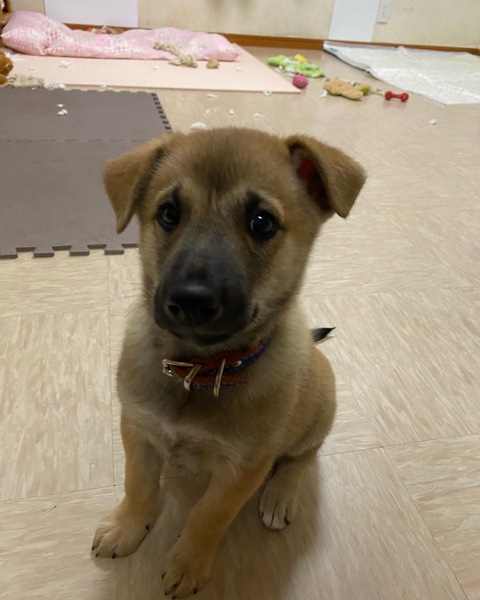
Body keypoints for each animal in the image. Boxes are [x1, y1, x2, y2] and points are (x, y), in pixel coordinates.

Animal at [92, 127, 366, 598]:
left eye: (262, 222)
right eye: (168, 213)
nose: (191, 300)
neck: (198, 372)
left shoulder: (242, 470)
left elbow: (208, 517)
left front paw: (189, 563)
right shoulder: (138, 430)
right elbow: (138, 486)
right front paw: (127, 527)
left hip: (319, 408)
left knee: (302, 456)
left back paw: (281, 494)